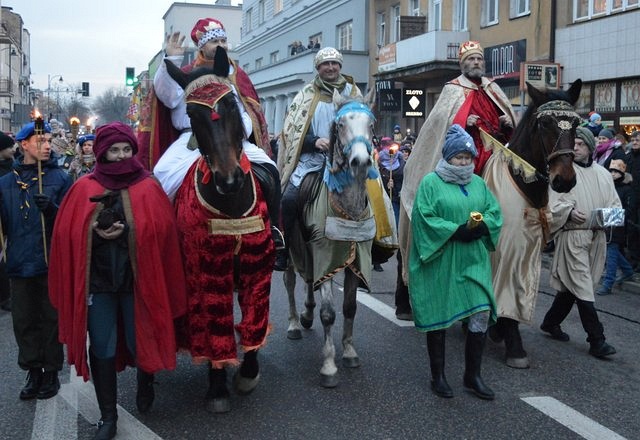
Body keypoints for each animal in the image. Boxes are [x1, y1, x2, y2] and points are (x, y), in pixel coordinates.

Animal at [164, 51, 274, 412]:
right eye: (191, 114)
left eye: (229, 104)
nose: (229, 180)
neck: (232, 207)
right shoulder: (205, 272)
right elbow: (213, 328)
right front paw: (217, 385)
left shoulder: (258, 267)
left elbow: (255, 316)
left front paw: (248, 372)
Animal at [482, 78, 584, 368]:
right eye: (545, 123)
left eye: (576, 124)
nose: (565, 180)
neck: (522, 178)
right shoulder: (506, 249)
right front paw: (513, 344)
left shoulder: (528, 251)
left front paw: (501, 331)